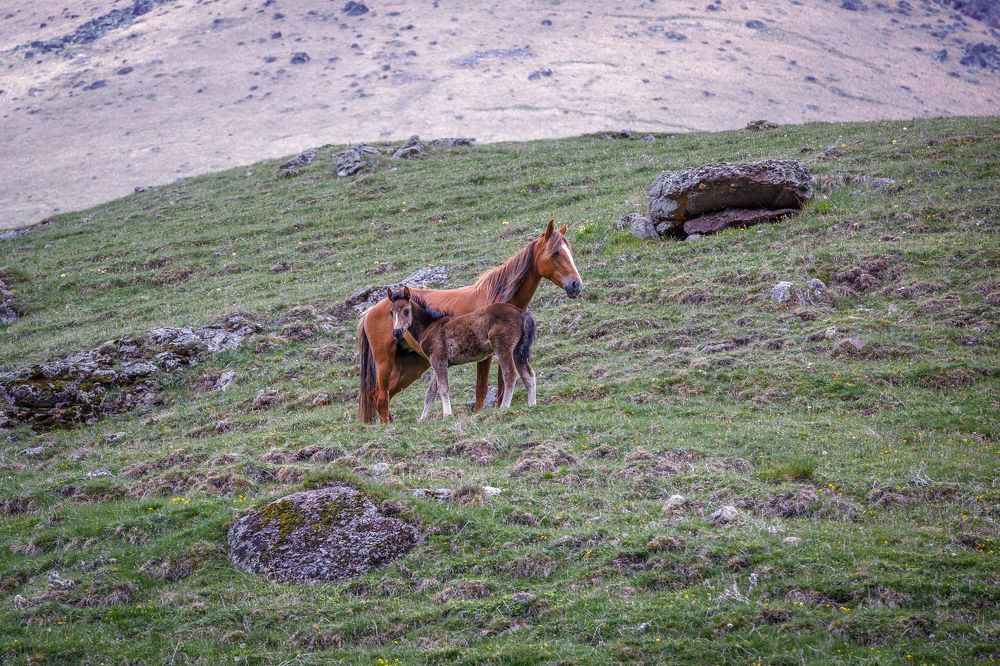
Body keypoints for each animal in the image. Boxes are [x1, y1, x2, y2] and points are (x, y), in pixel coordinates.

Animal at [386, 286, 536, 420]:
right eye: (391, 312)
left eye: (406, 311)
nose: (397, 332)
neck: (430, 327)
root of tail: (521, 313)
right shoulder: (440, 362)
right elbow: (431, 391)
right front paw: (422, 419)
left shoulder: (438, 359)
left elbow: (443, 388)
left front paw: (447, 415)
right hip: (517, 350)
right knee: (528, 374)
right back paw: (532, 404)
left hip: (502, 348)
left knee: (510, 374)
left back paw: (504, 407)